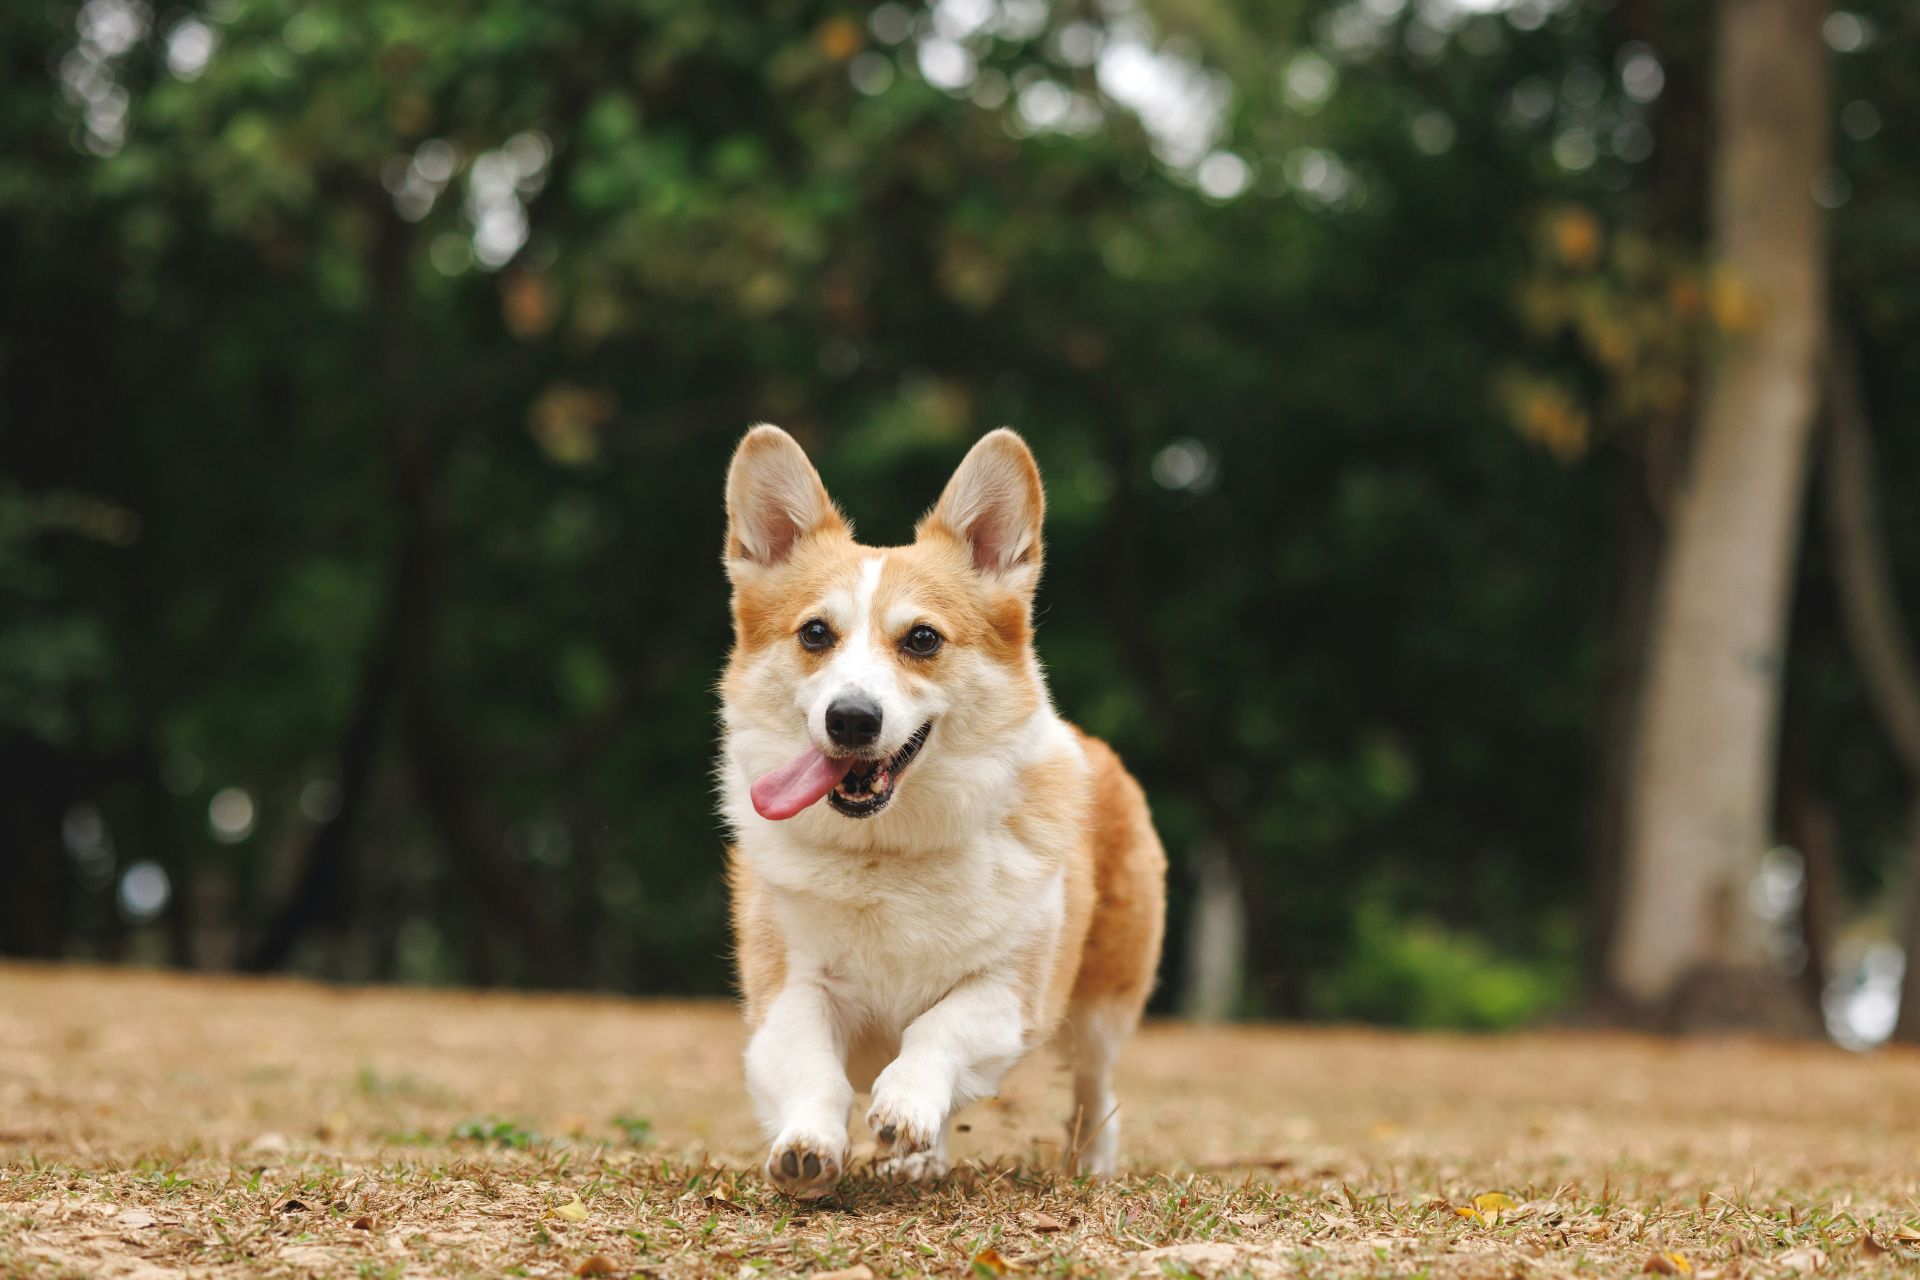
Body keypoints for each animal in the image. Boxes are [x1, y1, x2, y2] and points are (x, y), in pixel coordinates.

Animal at [721, 426, 1167, 1197]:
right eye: (815, 634)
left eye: (923, 639)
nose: (851, 718)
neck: (886, 852)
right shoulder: (789, 986)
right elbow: (813, 1068)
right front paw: (807, 1145)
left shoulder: (1011, 991)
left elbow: (938, 1030)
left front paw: (905, 1101)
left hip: (1101, 1009)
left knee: (1093, 1085)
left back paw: (1087, 1161)